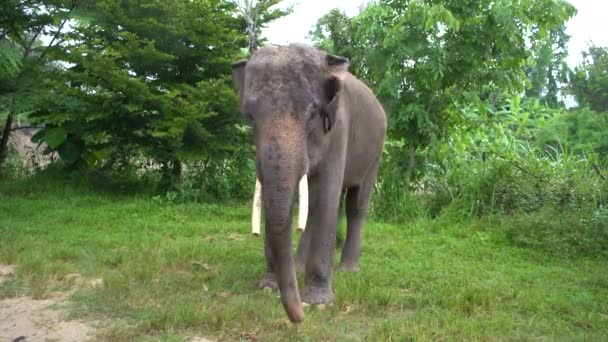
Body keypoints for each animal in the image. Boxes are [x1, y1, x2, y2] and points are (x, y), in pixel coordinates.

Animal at [230, 43, 388, 324]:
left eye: (312, 112)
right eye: (249, 115)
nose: (298, 318)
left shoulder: (339, 129)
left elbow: (327, 194)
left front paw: (317, 304)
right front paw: (268, 288)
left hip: (376, 152)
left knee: (355, 204)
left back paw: (348, 270)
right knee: (314, 206)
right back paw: (300, 266)